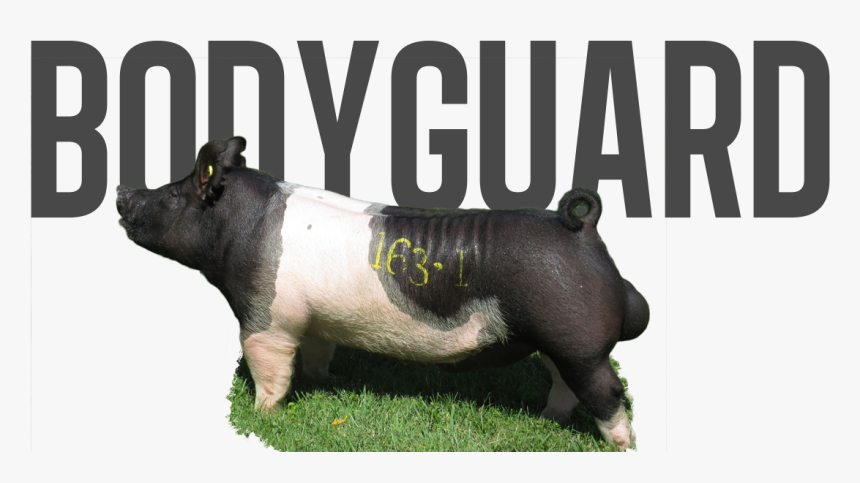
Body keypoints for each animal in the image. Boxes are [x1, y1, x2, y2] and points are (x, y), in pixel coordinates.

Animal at [116, 137, 649, 450]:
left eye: (172, 195)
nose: (122, 192)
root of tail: (579, 227)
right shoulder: (315, 319)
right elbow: (317, 352)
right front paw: (326, 382)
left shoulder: (267, 316)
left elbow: (267, 366)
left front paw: (262, 417)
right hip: (560, 341)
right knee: (564, 383)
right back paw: (546, 418)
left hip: (575, 338)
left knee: (607, 391)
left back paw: (620, 446)